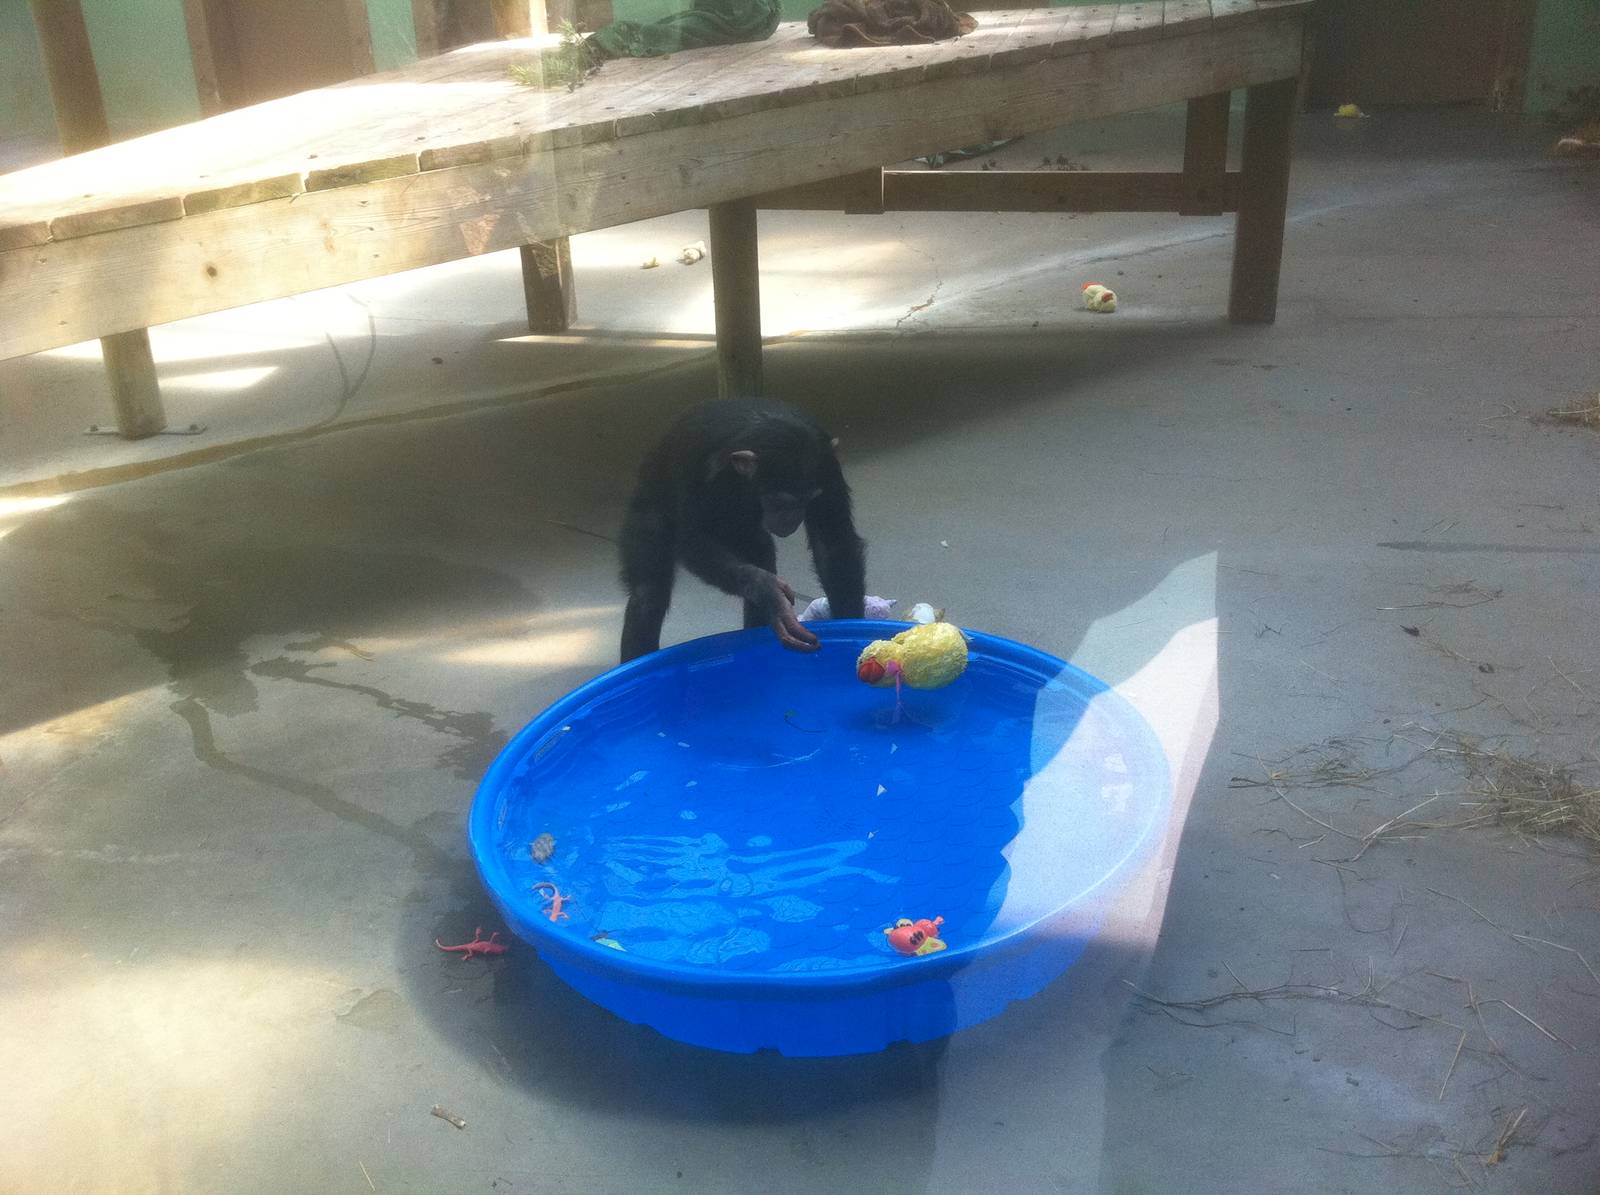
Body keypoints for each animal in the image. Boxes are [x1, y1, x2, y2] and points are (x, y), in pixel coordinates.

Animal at [618, 398, 867, 663]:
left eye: (809, 499)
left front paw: (851, 626)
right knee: (648, 594)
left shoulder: (827, 467)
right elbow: (694, 539)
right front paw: (768, 592)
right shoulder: (697, 465)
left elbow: (832, 542)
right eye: (781, 502)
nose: (792, 519)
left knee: (762, 552)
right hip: (646, 510)